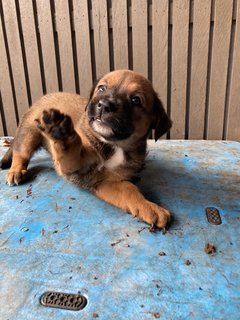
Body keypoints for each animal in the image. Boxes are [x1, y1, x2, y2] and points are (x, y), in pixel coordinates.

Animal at [0, 69, 172, 229]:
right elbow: (71, 150)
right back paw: (15, 171)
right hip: (29, 133)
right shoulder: (75, 166)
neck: (113, 145)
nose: (104, 105)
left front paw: (149, 207)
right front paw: (61, 133)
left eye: (136, 100)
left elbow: (129, 190)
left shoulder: (106, 181)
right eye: (101, 88)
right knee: (20, 154)